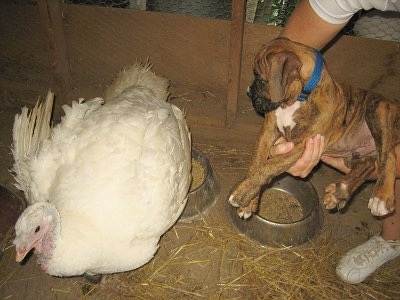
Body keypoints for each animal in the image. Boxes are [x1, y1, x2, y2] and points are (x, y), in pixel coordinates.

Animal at [228, 38, 400, 220]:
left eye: (260, 78)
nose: (248, 92)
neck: (299, 97)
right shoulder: (268, 131)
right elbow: (256, 164)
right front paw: (248, 202)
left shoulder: (300, 145)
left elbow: (269, 166)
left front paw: (241, 193)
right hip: (355, 155)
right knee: (367, 165)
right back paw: (340, 191)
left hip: (377, 109)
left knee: (388, 155)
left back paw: (381, 198)